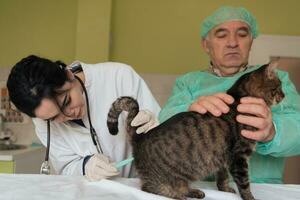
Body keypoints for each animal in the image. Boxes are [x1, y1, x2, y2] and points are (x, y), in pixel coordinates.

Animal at [107, 61, 284, 199]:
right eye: (279, 86)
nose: (284, 95)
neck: (239, 98)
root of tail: (140, 137)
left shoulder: (224, 159)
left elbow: (222, 177)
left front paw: (225, 189)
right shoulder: (238, 157)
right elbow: (245, 184)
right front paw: (250, 198)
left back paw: (193, 192)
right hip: (163, 178)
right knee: (149, 188)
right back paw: (177, 195)